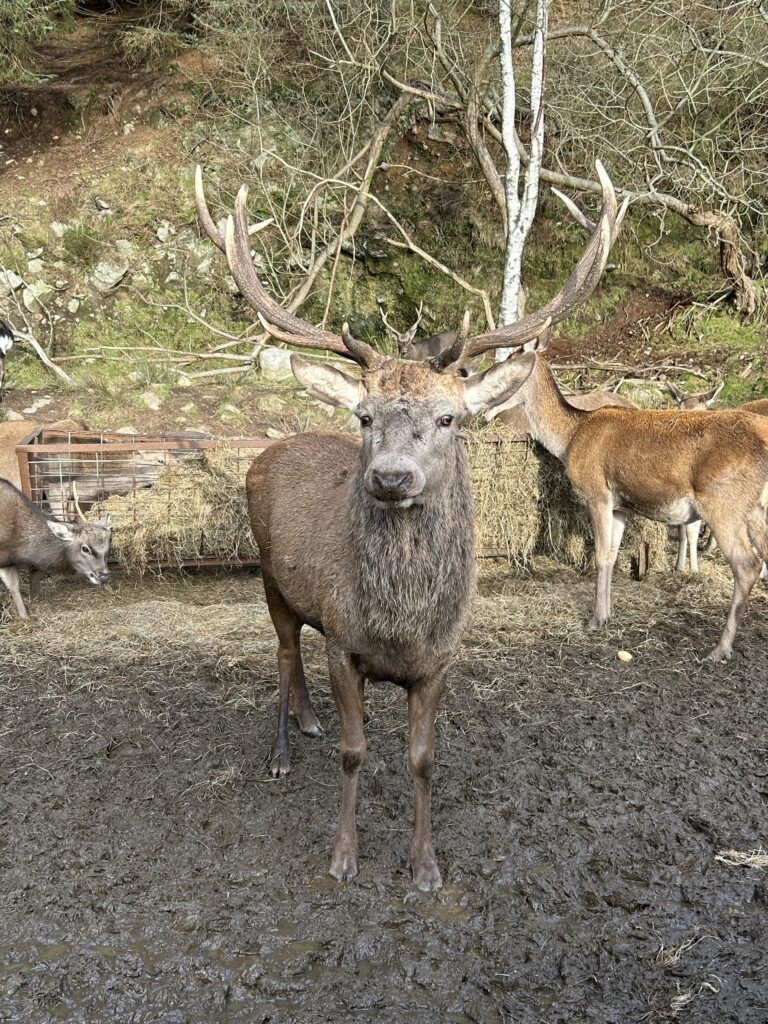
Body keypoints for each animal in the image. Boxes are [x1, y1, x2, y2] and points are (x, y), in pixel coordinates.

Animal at [0, 478, 112, 619]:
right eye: (85, 548)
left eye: (108, 548)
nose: (104, 576)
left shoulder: (7, 561)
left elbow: (14, 586)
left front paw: (25, 616)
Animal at [195, 160, 625, 890]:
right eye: (365, 416)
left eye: (450, 417)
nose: (392, 477)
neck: (400, 624)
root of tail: (270, 450)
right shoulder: (347, 647)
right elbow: (355, 751)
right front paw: (343, 855)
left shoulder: (439, 661)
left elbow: (423, 760)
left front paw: (425, 864)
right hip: (267, 579)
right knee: (283, 652)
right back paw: (283, 748)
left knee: (297, 651)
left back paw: (306, 722)